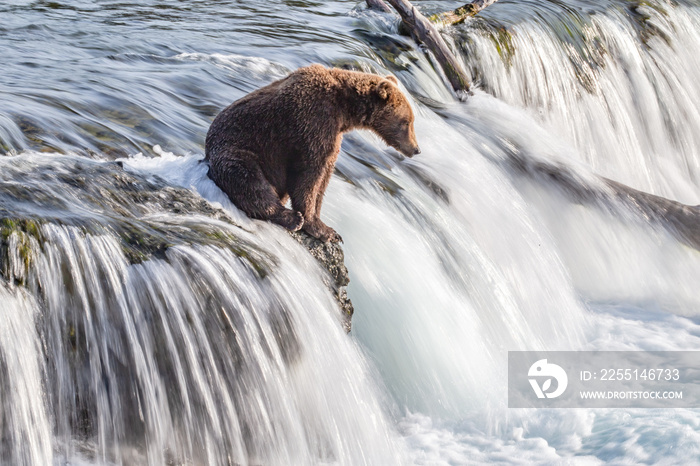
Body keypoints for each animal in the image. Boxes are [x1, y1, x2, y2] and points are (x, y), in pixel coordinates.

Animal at [205, 63, 418, 242]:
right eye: (406, 122)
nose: (416, 149)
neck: (345, 111)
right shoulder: (313, 124)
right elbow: (308, 177)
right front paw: (322, 229)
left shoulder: (333, 136)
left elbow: (323, 179)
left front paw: (323, 223)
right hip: (239, 151)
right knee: (250, 182)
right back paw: (290, 217)